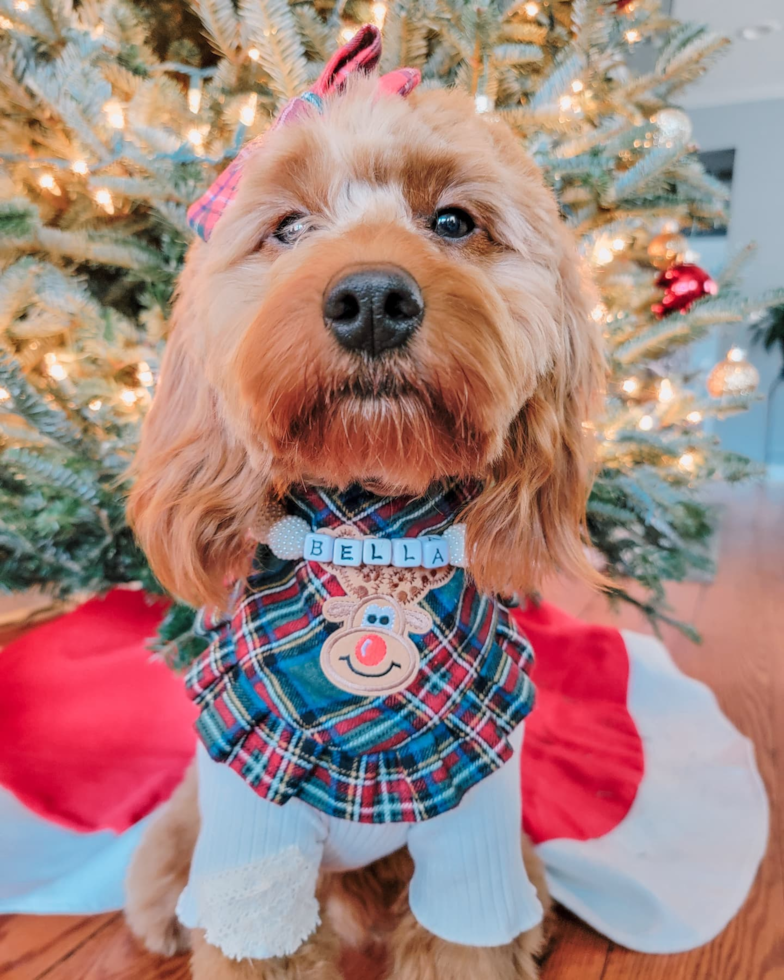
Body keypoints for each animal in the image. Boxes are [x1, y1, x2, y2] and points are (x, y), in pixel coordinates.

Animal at [125, 24, 604, 980]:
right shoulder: (252, 843)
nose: (373, 299)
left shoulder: (474, 829)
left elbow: (466, 941)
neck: (375, 535)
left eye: (453, 222)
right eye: (286, 227)